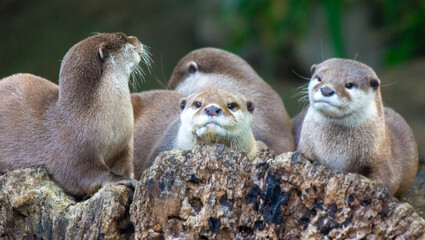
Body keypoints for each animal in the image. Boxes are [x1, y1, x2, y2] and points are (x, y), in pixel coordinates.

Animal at [0, 32, 149, 197]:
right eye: (122, 38)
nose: (136, 38)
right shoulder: (76, 155)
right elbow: (89, 176)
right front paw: (123, 180)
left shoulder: (124, 146)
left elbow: (126, 166)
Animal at [292, 58, 418, 197]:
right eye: (319, 78)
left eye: (349, 85)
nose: (326, 90)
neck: (334, 150)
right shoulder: (305, 148)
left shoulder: (380, 156)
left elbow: (387, 180)